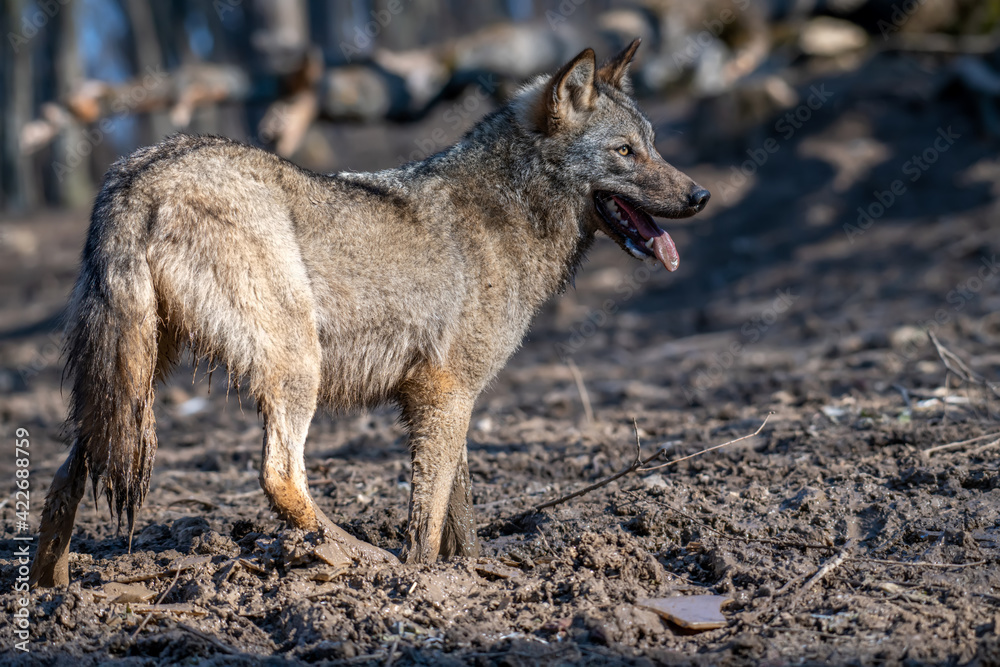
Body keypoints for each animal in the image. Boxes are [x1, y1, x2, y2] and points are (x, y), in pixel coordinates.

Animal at [30, 39, 709, 587]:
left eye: (653, 147)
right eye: (625, 152)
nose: (701, 195)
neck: (510, 211)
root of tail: (136, 171)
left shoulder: (452, 400)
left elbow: (458, 512)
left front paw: (474, 570)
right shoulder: (444, 393)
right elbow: (426, 523)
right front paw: (423, 580)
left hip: (132, 381)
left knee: (65, 478)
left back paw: (53, 592)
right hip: (294, 367)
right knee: (280, 476)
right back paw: (357, 557)